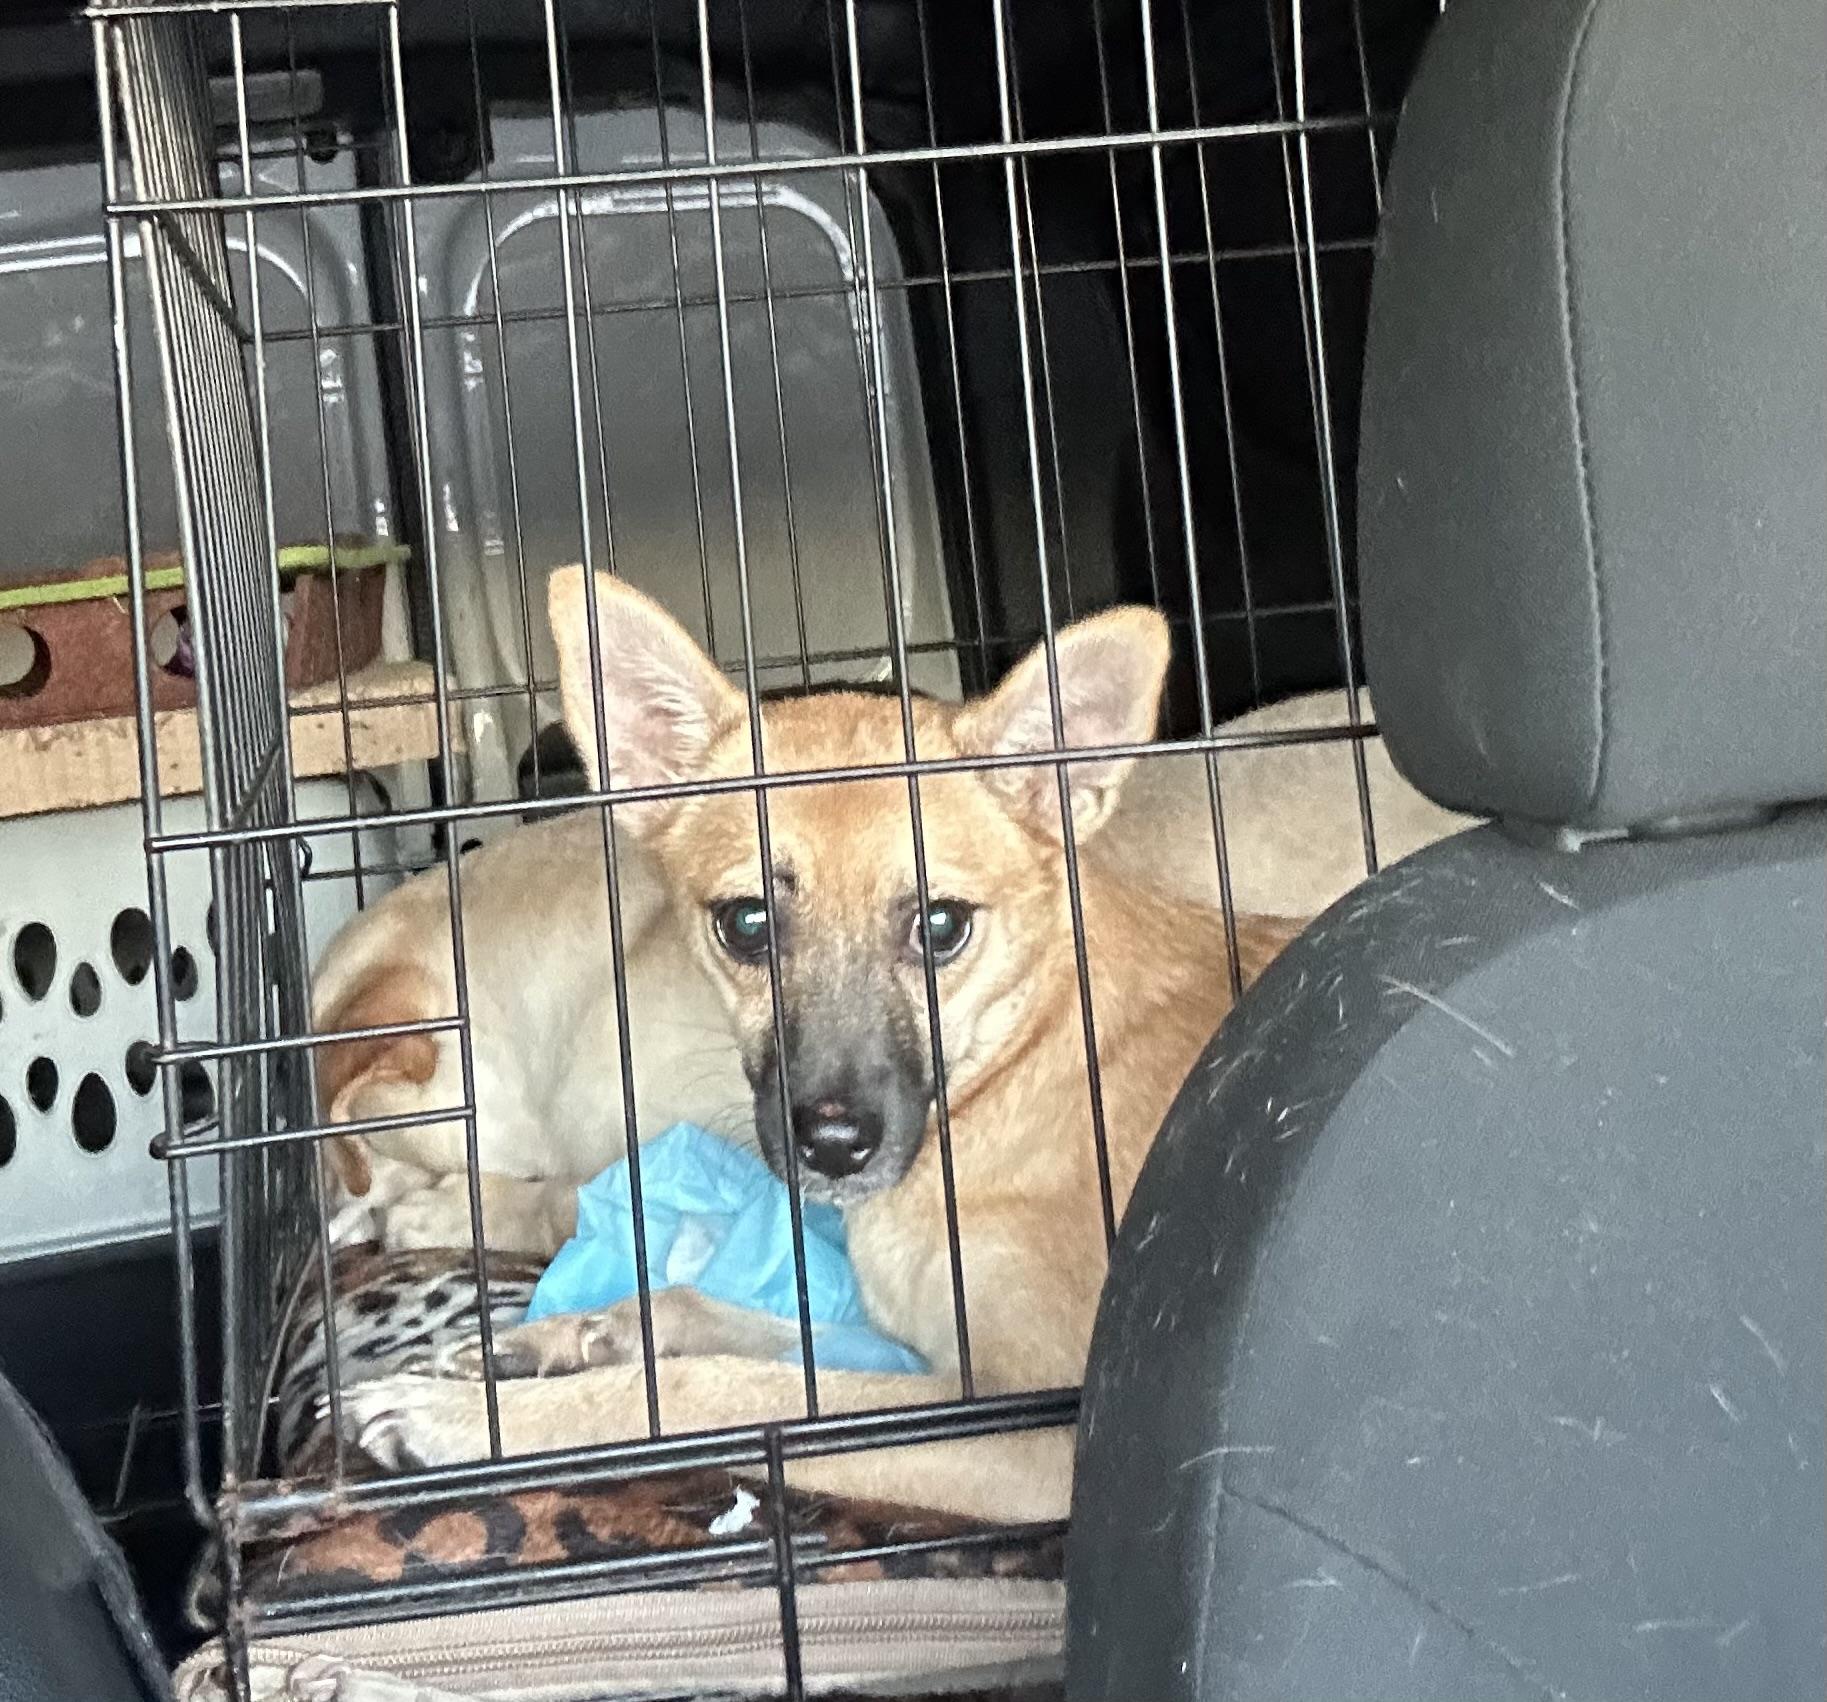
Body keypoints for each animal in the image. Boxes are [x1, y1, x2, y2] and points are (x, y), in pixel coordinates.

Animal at [327, 568, 1315, 1523]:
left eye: (942, 926)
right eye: (746, 924)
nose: (833, 1147)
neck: (1023, 1062)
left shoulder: (1031, 1427)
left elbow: (720, 1393)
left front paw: (470, 1419)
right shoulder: (899, 1351)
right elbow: (720, 1323)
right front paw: (562, 1339)